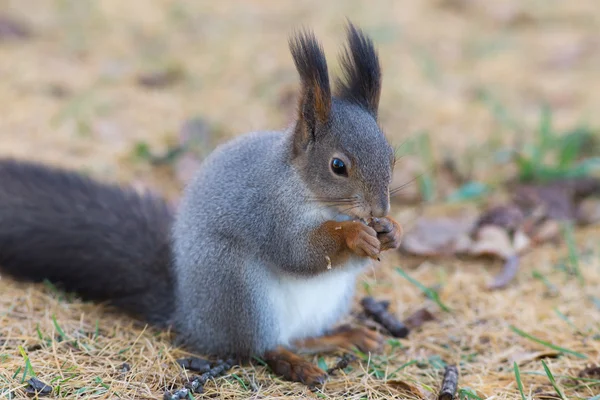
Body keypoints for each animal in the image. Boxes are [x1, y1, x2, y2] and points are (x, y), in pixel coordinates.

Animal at [1, 22, 404, 388]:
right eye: (338, 166)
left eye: (392, 157)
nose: (380, 211)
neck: (316, 198)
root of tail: (189, 314)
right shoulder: (267, 211)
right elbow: (298, 253)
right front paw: (354, 234)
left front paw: (392, 232)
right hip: (237, 289)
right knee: (259, 347)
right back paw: (293, 362)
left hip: (326, 300)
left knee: (301, 338)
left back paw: (344, 336)